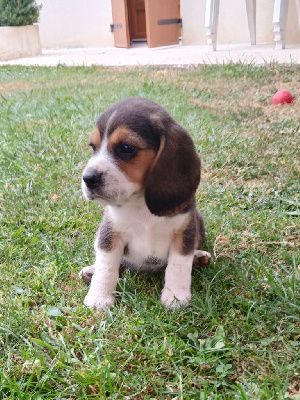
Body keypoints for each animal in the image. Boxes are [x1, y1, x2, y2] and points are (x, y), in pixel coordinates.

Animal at [80, 97, 211, 310]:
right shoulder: (110, 232)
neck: (140, 203)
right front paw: (99, 297)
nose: (88, 179)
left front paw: (175, 297)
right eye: (93, 146)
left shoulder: (184, 230)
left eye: (126, 148)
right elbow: (106, 266)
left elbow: (178, 266)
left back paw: (198, 257)